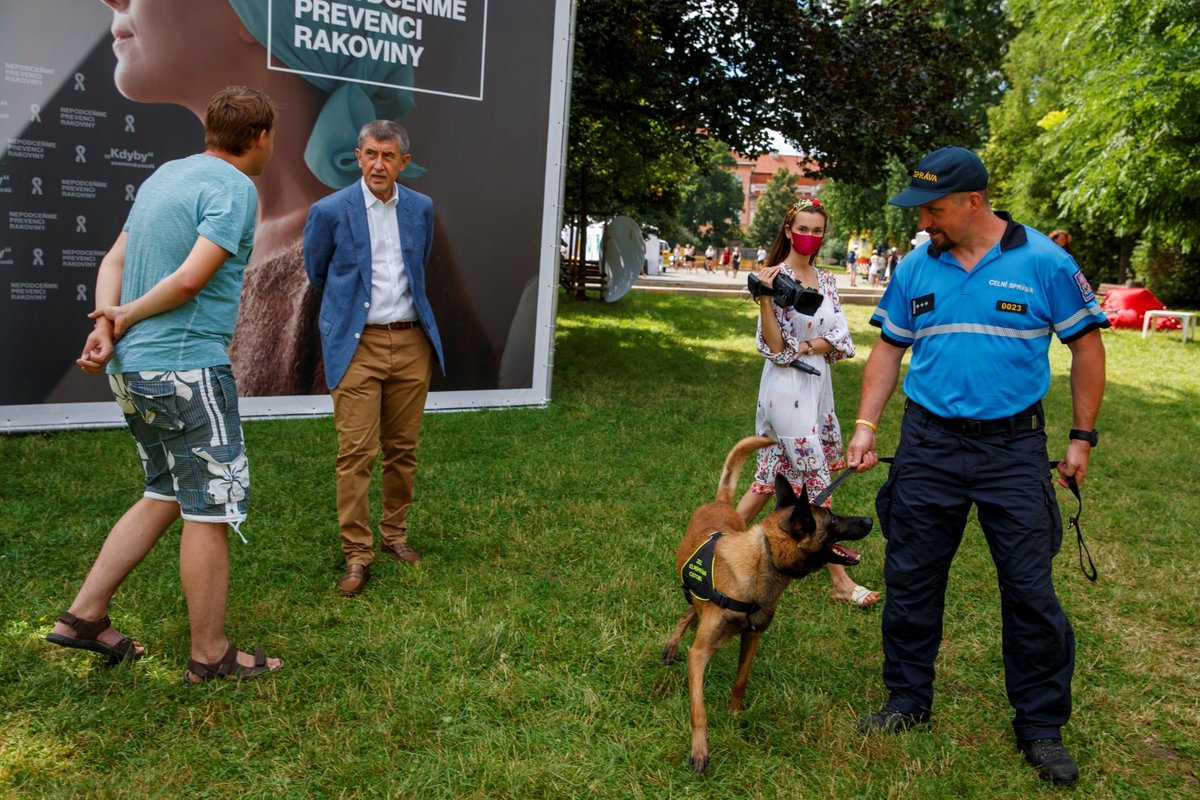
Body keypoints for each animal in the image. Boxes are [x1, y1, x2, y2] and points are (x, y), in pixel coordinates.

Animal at [667, 434, 873, 772]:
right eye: (833, 520)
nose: (869, 520)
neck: (762, 561)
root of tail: (721, 502)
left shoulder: (753, 636)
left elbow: (741, 679)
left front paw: (735, 714)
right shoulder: (698, 654)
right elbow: (699, 709)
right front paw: (699, 749)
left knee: (688, 612)